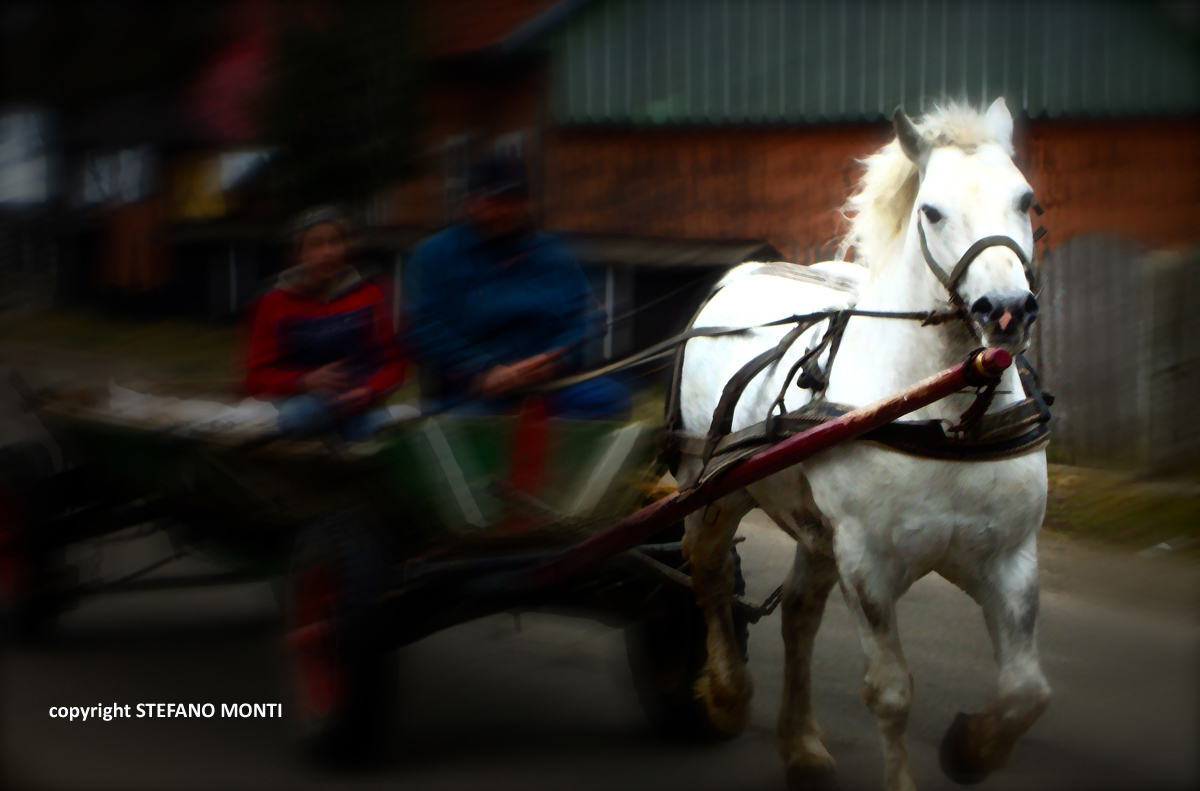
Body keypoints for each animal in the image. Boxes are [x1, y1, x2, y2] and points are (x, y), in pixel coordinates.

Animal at [674, 98, 1051, 791]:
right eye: (932, 211)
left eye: (1026, 200)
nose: (1008, 310)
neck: (942, 408)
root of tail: (744, 272)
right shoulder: (867, 563)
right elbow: (891, 692)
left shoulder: (1010, 561)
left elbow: (1025, 692)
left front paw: (971, 749)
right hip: (716, 492)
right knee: (708, 573)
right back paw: (728, 694)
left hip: (819, 531)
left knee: (798, 612)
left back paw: (800, 742)